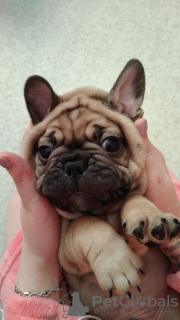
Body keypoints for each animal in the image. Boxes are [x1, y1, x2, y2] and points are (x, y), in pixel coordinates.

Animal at [21, 59, 179, 318]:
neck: (104, 211)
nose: (74, 164)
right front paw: (117, 265)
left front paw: (149, 217)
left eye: (111, 144)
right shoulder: (65, 249)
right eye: (44, 151)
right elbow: (86, 225)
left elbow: (134, 199)